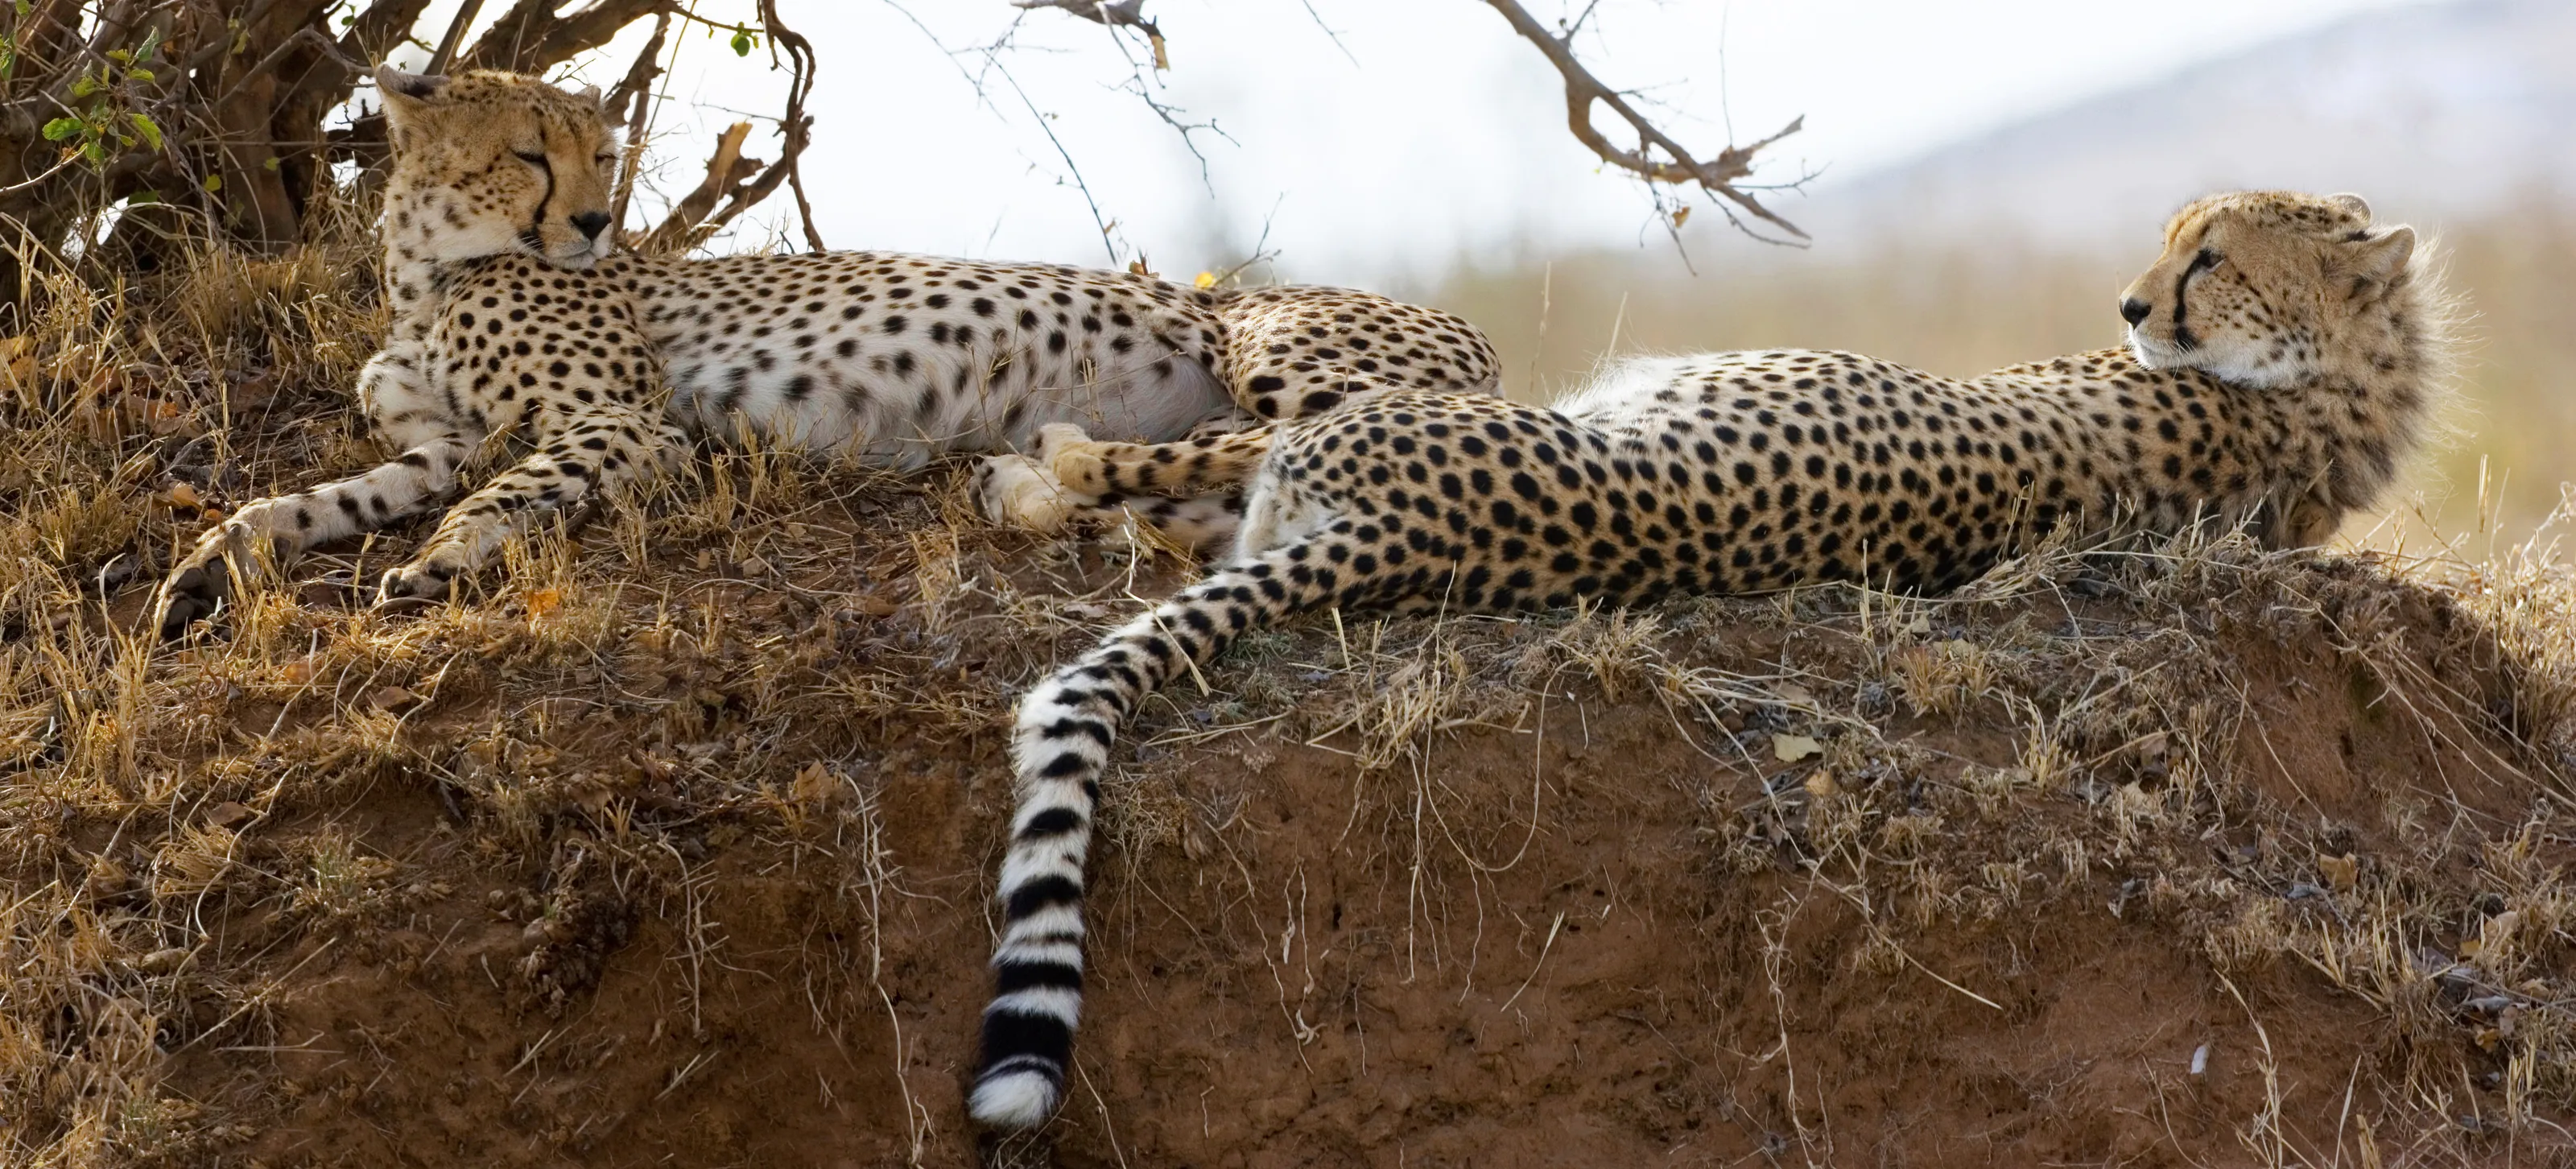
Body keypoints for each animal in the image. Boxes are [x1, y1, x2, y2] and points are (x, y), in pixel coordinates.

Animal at [150, 67, 1499, 637]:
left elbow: (506, 492)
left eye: (603, 154)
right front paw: (213, 564)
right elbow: (320, 497)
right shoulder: (439, 440)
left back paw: (1051, 468)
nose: (593, 221)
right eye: (532, 153)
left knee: (1312, 433)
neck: (430, 274)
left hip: (1270, 341)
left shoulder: (625, 426)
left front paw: (438, 563)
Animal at [967, 190, 2455, 1128]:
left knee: (1164, 470)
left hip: (1378, 422)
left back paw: (1037, 467)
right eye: (2175, 247)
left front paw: (1051, 458)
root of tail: (1410, 537)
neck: (2320, 403)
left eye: (2214, 256)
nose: (2137, 303)